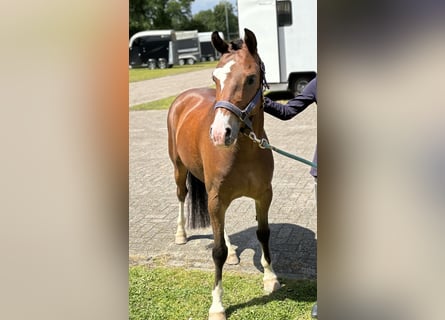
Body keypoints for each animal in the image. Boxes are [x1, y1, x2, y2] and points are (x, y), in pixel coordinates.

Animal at [166, 28, 278, 318]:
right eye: (215, 77)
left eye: (251, 78)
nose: (219, 134)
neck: (245, 150)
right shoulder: (216, 198)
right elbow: (217, 251)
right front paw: (217, 305)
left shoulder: (264, 195)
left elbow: (263, 234)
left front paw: (270, 278)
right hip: (179, 168)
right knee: (181, 195)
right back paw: (181, 234)